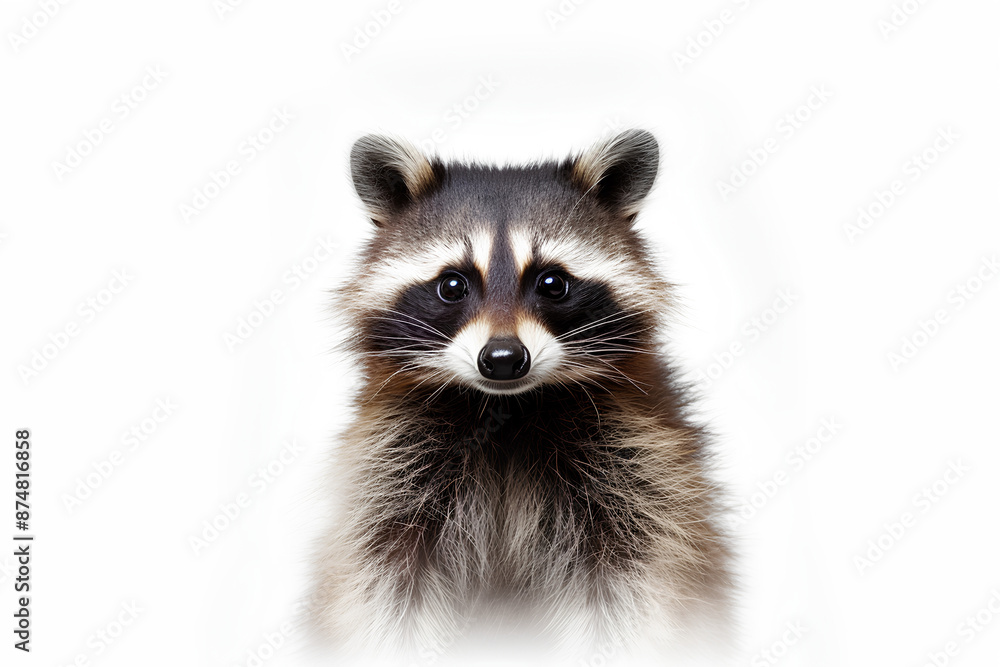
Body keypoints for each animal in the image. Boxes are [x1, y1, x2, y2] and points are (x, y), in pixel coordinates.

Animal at [312, 130, 733, 663]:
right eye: (452, 285)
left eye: (552, 283)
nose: (503, 358)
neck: (504, 410)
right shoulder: (391, 465)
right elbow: (384, 580)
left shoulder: (639, 465)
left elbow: (631, 583)